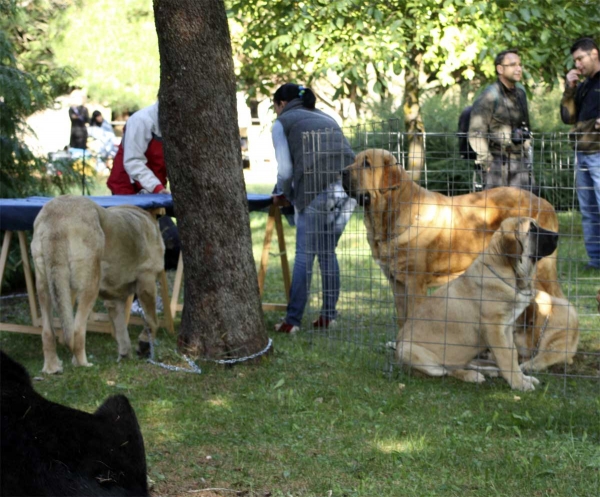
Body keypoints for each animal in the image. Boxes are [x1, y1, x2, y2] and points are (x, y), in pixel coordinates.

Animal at [31, 195, 165, 372]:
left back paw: (52, 368)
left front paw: (125, 355)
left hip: (45, 287)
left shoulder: (115, 300)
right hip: (89, 286)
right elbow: (152, 322)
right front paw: (143, 345)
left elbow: (121, 331)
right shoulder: (147, 283)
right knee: (77, 331)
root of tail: (56, 218)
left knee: (48, 332)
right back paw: (83, 364)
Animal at [340, 148, 564, 326]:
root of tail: (546, 203)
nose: (341, 171)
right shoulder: (397, 283)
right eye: (354, 160)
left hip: (542, 271)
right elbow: (402, 319)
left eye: (367, 164)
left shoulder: (414, 283)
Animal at [396, 217, 560, 392]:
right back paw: (471, 376)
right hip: (408, 350)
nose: (557, 236)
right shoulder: (494, 328)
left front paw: (523, 378)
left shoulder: (506, 328)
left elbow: (512, 355)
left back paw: (490, 371)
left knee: (466, 364)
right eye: (532, 229)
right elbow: (505, 356)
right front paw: (519, 383)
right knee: (447, 369)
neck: (510, 274)